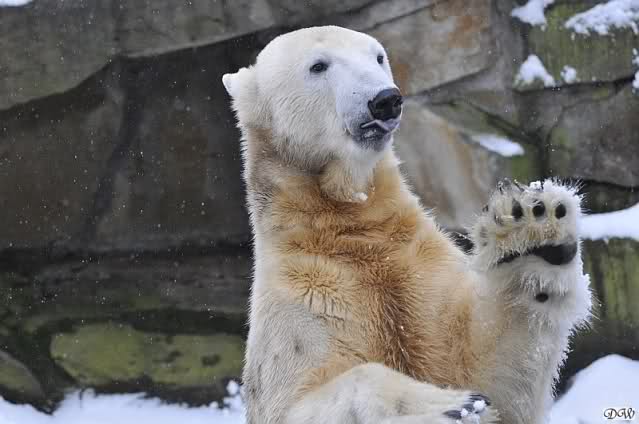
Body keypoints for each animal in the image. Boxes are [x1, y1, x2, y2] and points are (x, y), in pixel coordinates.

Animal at [222, 26, 592, 424]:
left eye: (378, 56)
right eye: (318, 65)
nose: (385, 100)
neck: (350, 224)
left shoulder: (417, 264)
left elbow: (494, 375)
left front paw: (534, 228)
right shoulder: (303, 300)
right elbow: (304, 400)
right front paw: (450, 403)